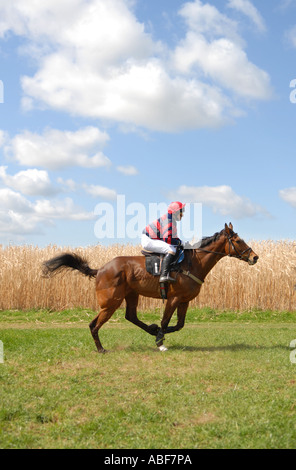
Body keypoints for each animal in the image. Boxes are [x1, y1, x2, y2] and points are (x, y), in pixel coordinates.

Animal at [42, 224, 258, 352]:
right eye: (238, 240)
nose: (255, 257)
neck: (192, 263)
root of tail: (100, 269)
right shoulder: (173, 298)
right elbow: (165, 321)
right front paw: (160, 341)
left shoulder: (184, 301)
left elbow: (179, 325)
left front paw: (159, 333)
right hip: (111, 302)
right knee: (96, 324)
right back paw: (101, 348)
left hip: (130, 296)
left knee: (127, 317)